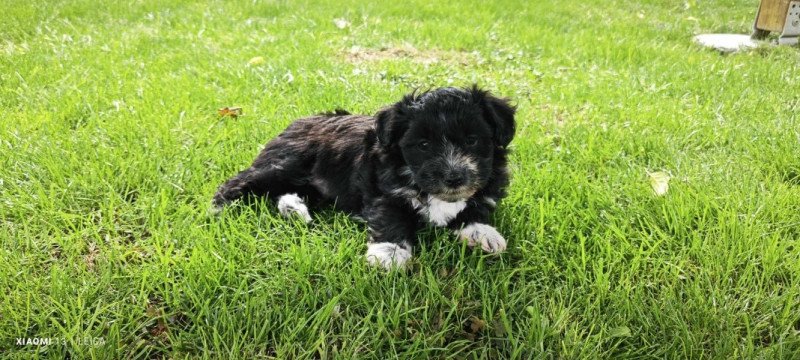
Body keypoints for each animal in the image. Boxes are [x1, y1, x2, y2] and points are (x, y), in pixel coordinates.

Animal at [212, 86, 516, 268]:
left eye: (472, 140)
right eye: (423, 145)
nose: (454, 178)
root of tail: (297, 122)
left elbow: (474, 206)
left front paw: (482, 232)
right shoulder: (385, 192)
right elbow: (390, 218)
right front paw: (389, 254)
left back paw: (294, 210)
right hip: (285, 164)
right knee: (242, 181)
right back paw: (220, 209)